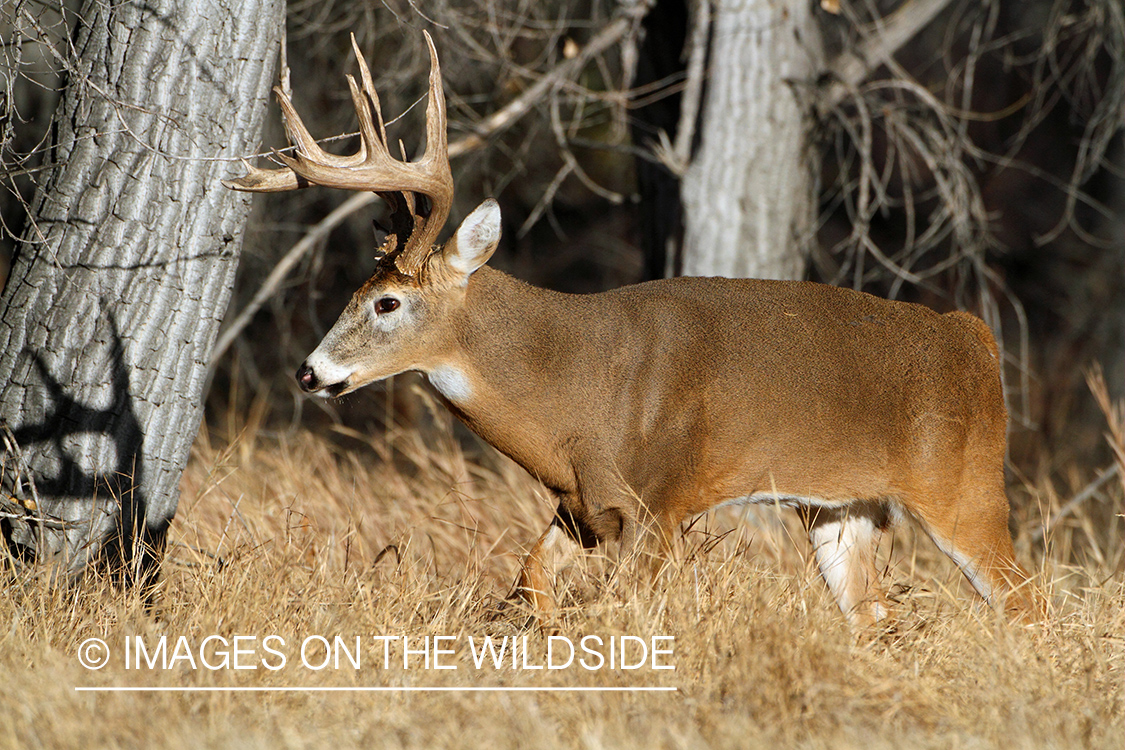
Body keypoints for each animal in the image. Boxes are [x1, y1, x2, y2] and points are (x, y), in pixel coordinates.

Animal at [223, 32, 1039, 629]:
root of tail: (975, 336)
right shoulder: (582, 508)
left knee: (1026, 599)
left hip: (963, 483)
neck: (566, 403)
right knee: (872, 621)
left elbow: (633, 610)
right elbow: (530, 579)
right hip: (843, 508)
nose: (309, 371)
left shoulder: (661, 501)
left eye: (387, 304)